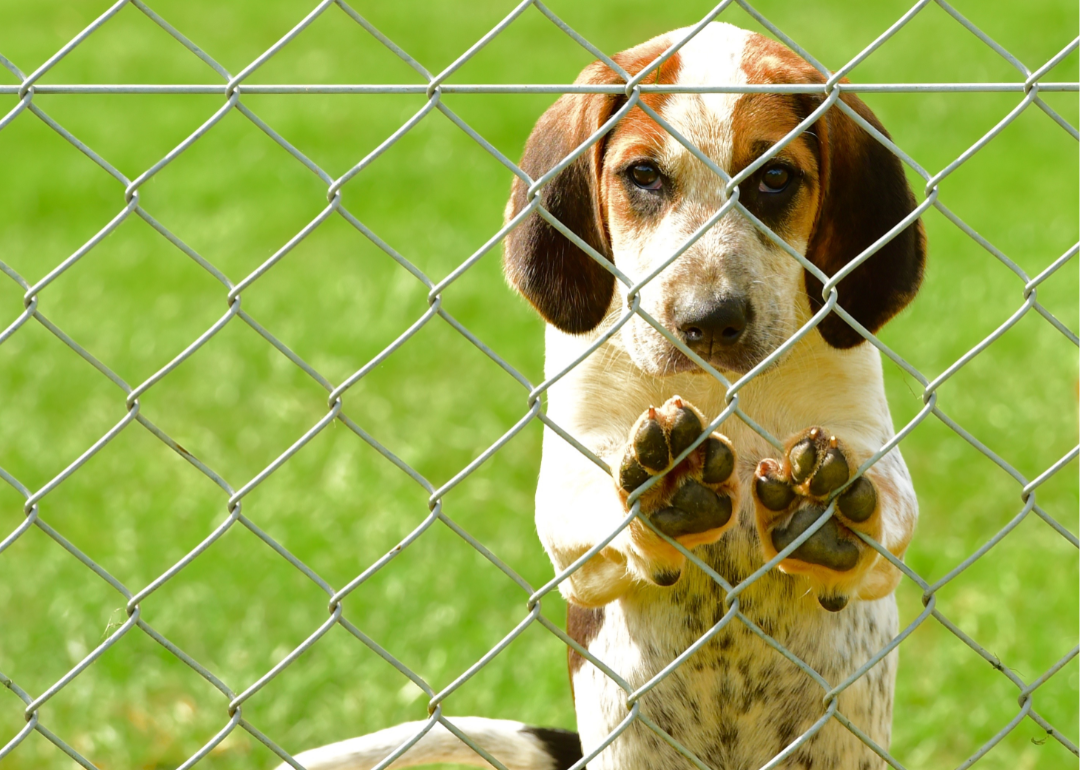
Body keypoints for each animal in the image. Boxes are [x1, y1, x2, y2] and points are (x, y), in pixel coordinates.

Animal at [276, 19, 920, 768]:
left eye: (775, 178)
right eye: (642, 175)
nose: (710, 322)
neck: (715, 387)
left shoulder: (865, 438)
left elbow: (887, 513)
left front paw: (827, 515)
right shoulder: (569, 489)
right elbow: (599, 501)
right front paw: (667, 485)